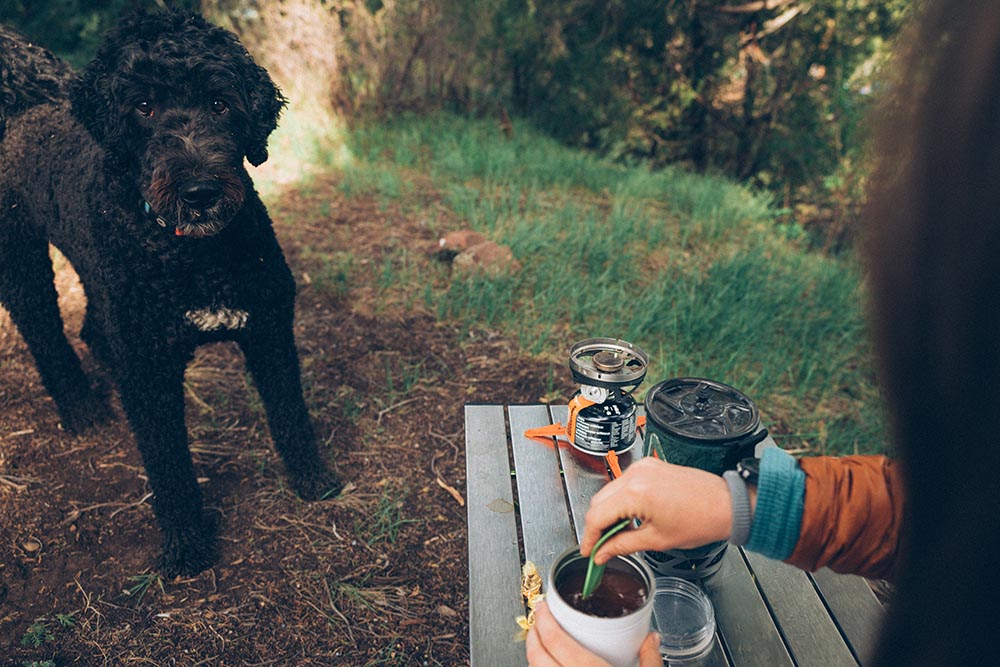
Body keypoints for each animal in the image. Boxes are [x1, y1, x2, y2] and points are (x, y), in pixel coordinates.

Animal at [0, 10, 342, 576]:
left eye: (220, 103)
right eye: (144, 106)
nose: (199, 192)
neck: (194, 257)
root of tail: (28, 100)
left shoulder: (269, 329)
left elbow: (291, 413)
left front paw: (313, 479)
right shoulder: (151, 372)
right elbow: (169, 463)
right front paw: (185, 543)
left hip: (96, 272)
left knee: (93, 326)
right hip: (22, 264)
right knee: (45, 332)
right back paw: (81, 408)